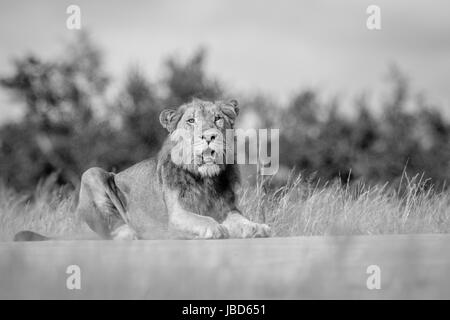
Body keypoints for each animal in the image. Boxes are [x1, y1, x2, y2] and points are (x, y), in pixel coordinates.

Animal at [14, 99, 270, 241]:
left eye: (218, 119)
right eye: (191, 121)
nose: (209, 136)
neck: (205, 178)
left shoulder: (228, 209)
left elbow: (242, 221)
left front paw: (257, 227)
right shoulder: (176, 215)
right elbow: (203, 219)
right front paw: (215, 228)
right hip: (93, 173)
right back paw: (131, 233)